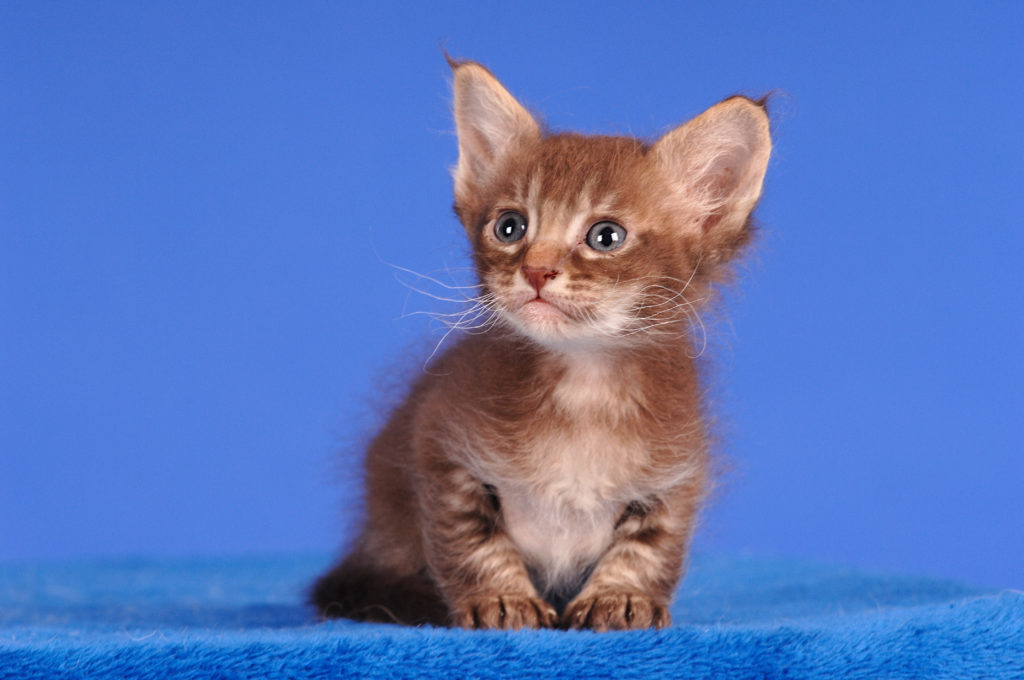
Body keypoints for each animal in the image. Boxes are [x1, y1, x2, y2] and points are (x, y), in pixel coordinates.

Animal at [311, 58, 770, 630]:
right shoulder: (440, 445)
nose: (536, 270)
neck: (584, 388)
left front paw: (622, 597)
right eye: (510, 227)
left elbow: (649, 546)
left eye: (605, 237)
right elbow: (473, 540)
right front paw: (501, 599)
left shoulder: (675, 474)